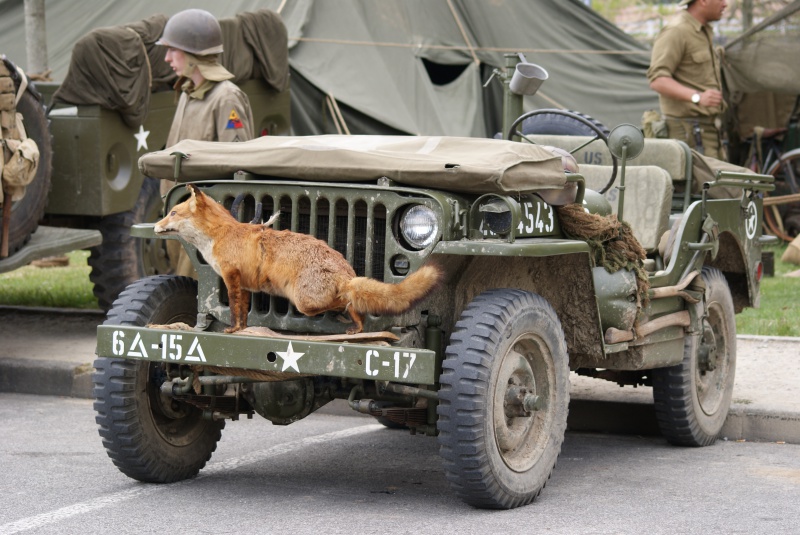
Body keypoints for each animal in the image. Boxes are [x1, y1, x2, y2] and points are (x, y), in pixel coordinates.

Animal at [155, 185, 444, 336]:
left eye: (173, 213)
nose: (156, 226)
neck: (222, 235)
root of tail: (346, 274)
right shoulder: (245, 283)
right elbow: (244, 311)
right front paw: (243, 329)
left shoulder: (231, 276)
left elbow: (235, 308)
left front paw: (233, 330)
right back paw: (356, 324)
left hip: (303, 302)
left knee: (342, 302)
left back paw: (349, 318)